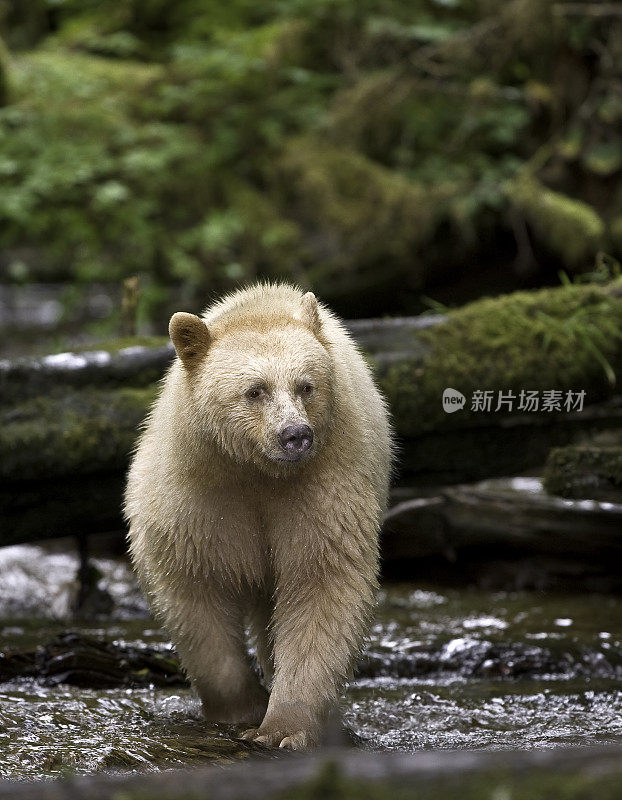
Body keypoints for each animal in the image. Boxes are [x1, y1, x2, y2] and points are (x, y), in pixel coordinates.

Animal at [124, 282, 392, 752]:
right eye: (255, 390)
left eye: (306, 386)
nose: (295, 436)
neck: (256, 472)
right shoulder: (197, 499)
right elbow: (194, 590)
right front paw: (241, 708)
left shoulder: (322, 487)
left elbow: (322, 580)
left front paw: (283, 727)